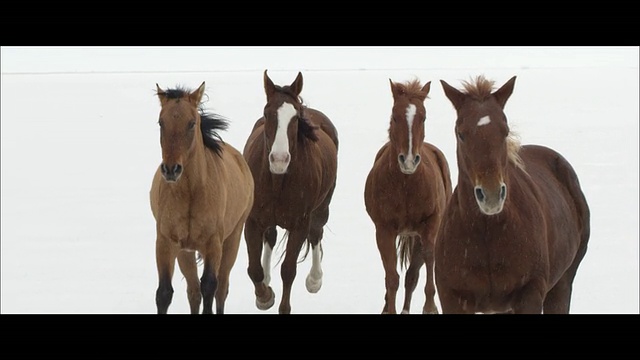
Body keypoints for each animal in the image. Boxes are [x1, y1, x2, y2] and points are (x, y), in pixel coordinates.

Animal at [150, 83, 255, 314]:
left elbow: (209, 286)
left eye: (192, 123)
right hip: (185, 253)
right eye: (161, 122)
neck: (191, 192)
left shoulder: (213, 244)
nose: (171, 170)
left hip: (232, 241)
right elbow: (164, 293)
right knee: (193, 291)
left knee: (221, 288)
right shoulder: (166, 242)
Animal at [241, 69, 340, 312]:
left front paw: (282, 306)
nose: (279, 160)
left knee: (316, 233)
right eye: (267, 113)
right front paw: (264, 296)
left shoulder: (299, 224)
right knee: (270, 236)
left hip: (322, 208)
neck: (278, 181)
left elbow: (288, 270)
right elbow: (253, 268)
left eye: (295, 117)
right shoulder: (253, 220)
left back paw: (315, 279)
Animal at [362, 78, 452, 312]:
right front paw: (389, 310)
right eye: (395, 116)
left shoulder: (430, 225)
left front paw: (430, 307)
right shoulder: (384, 230)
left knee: (413, 274)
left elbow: (427, 262)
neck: (406, 187)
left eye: (423, 116)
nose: (409, 160)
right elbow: (391, 277)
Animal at [436, 74, 592, 314]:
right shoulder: (452, 298)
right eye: (461, 134)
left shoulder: (530, 293)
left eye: (505, 131)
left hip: (562, 284)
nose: (491, 195)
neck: (486, 232)